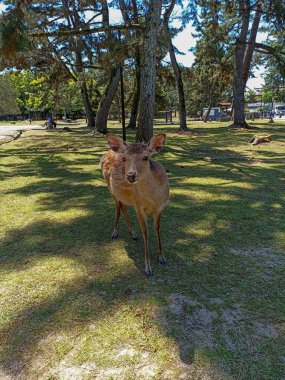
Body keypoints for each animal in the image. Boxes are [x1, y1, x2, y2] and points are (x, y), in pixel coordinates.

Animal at [101, 134, 169, 276]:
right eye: (124, 158)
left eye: (146, 157)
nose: (131, 175)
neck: (153, 200)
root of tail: (107, 153)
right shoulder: (139, 207)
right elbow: (146, 233)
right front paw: (148, 268)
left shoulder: (160, 207)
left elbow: (157, 229)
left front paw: (162, 257)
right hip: (110, 188)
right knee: (118, 207)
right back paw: (115, 232)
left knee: (124, 206)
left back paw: (133, 233)